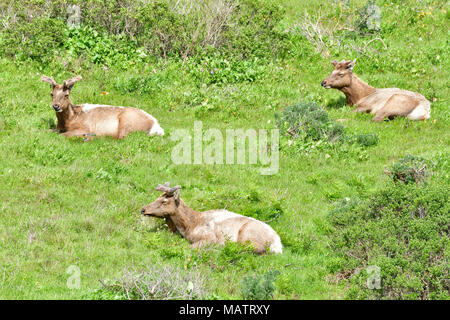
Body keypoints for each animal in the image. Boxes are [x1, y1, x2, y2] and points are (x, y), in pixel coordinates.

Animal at [141, 182, 282, 255]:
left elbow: (189, 248)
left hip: (247, 235)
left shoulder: (209, 238)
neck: (189, 226)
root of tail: (278, 244)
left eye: (164, 201)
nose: (143, 209)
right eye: (157, 197)